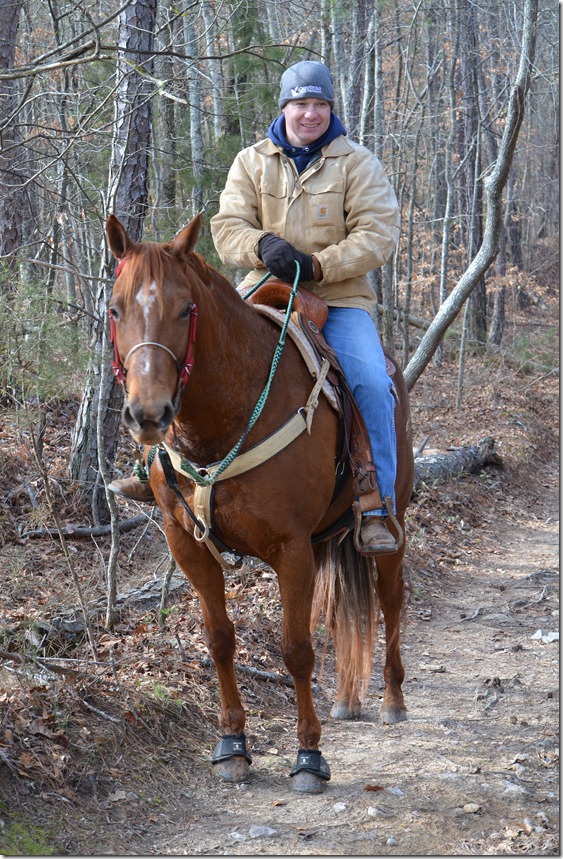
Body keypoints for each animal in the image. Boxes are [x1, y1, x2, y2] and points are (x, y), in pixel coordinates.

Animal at [105, 212, 414, 794]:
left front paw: (309, 756)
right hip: (324, 542)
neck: (225, 416)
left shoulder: (289, 549)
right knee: (339, 608)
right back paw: (346, 699)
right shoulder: (188, 546)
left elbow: (295, 650)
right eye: (116, 308)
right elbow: (220, 640)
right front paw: (232, 746)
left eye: (187, 309)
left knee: (389, 602)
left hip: (390, 525)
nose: (148, 414)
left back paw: (391, 700)